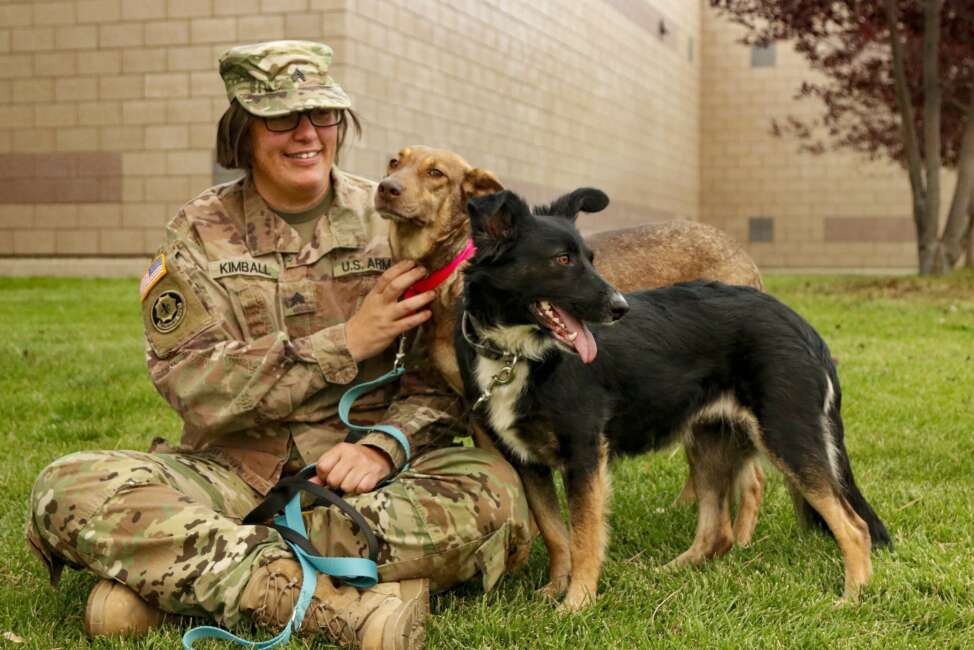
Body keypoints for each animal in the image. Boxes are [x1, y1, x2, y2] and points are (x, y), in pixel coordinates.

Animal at [378, 144, 772, 564]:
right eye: (394, 162)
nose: (386, 189)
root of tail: (741, 252)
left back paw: (742, 543)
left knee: (753, 479)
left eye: (435, 173)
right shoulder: (482, 414)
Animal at [458, 186, 892, 608]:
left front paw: (576, 603)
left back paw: (852, 597)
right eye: (562, 260)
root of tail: (801, 324)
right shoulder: (528, 463)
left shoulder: (585, 456)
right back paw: (670, 571)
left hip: (787, 436)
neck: (518, 354)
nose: (620, 307)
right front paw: (554, 590)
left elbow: (584, 537)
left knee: (854, 526)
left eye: (591, 259)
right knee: (718, 533)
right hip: (710, 441)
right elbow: (555, 533)